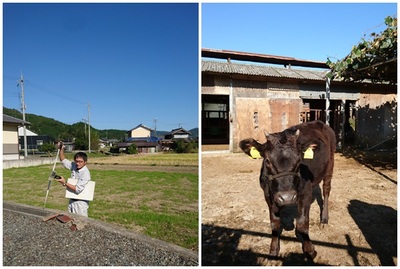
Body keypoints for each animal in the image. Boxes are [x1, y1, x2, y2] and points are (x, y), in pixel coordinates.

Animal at [239, 119, 336, 258]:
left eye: (300, 160)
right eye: (267, 161)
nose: (287, 198)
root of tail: (319, 122)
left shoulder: (305, 193)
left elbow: (302, 224)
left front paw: (309, 249)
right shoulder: (268, 195)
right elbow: (274, 223)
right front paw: (274, 249)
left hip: (330, 165)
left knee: (326, 190)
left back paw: (324, 220)